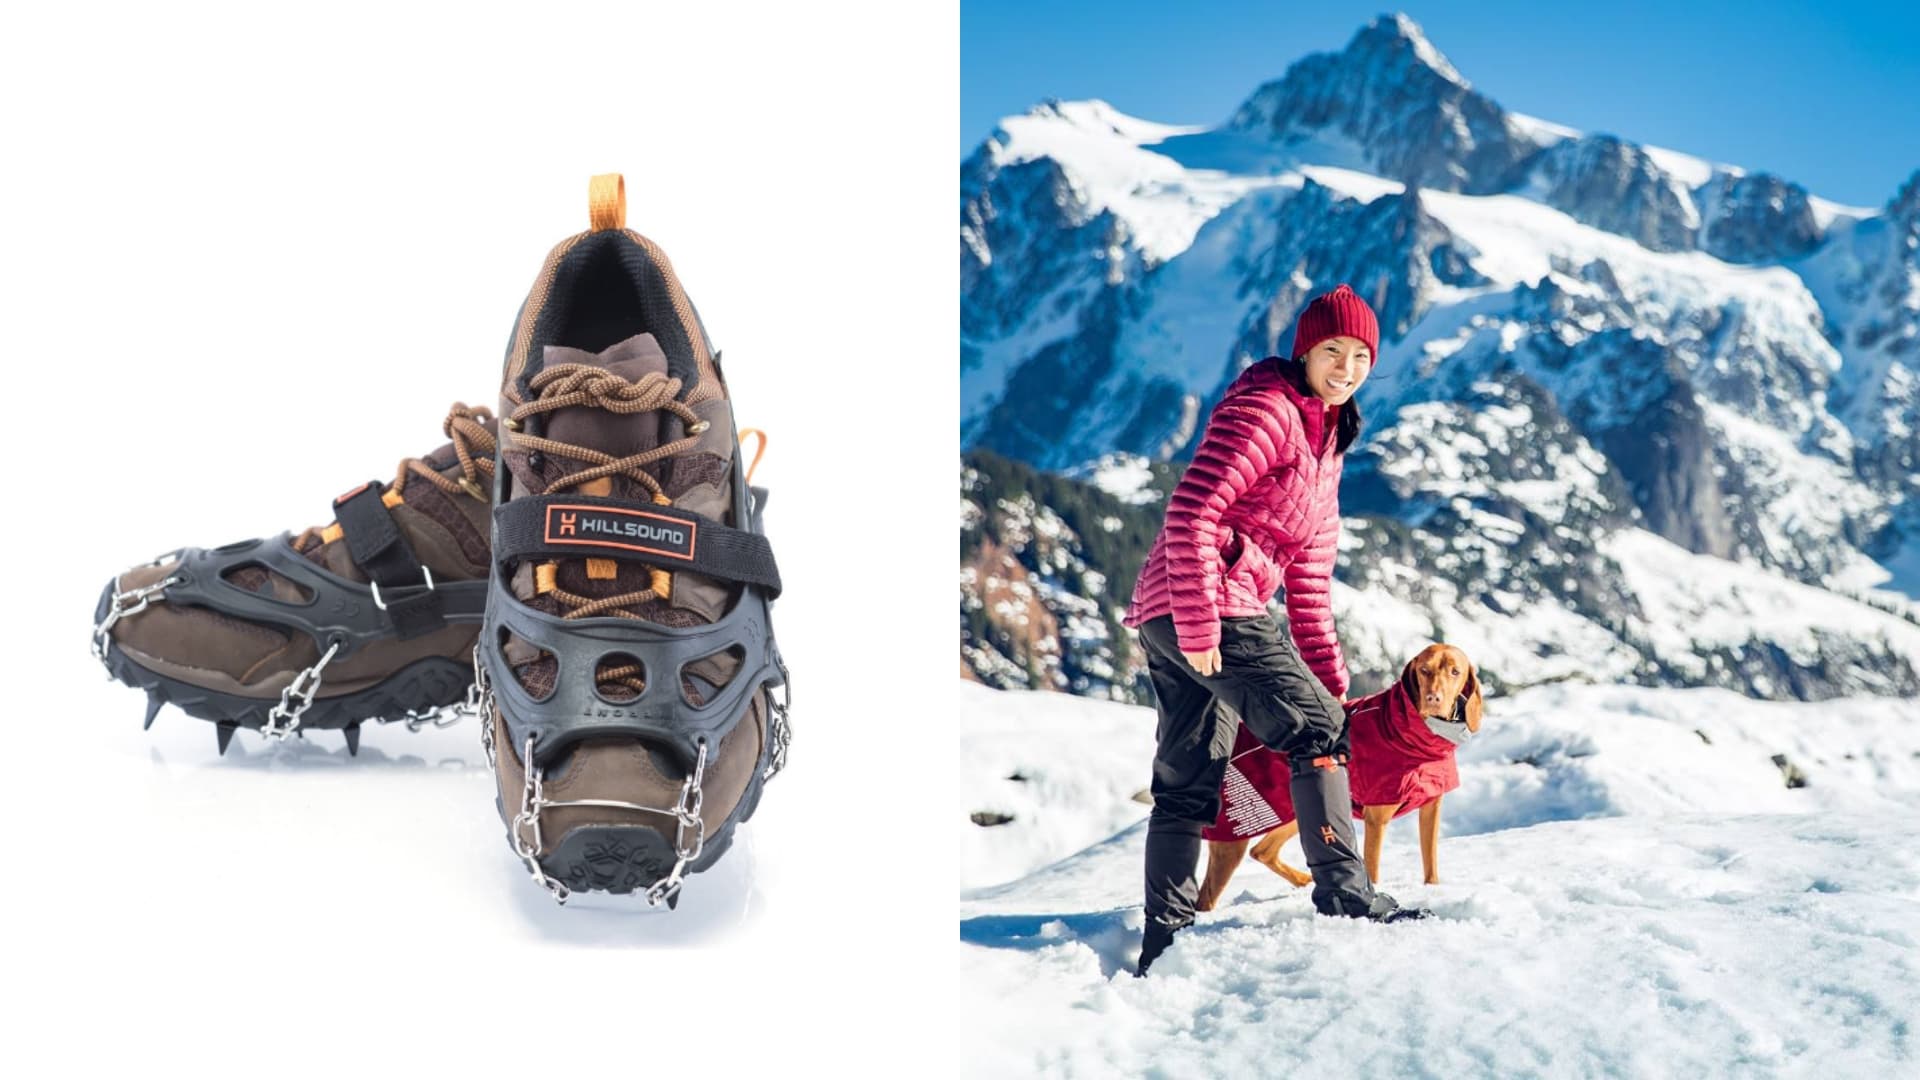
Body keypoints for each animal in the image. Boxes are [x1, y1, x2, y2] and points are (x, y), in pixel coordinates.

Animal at [1198, 641, 1482, 903]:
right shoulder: (1376, 818)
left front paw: (1433, 890)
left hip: (1295, 811)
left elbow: (1430, 862)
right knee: (1207, 897)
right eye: (1424, 670)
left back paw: (1304, 880)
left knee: (1262, 850)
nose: (1433, 698)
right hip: (1232, 841)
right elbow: (1373, 870)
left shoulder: (1432, 807)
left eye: (1455, 672)